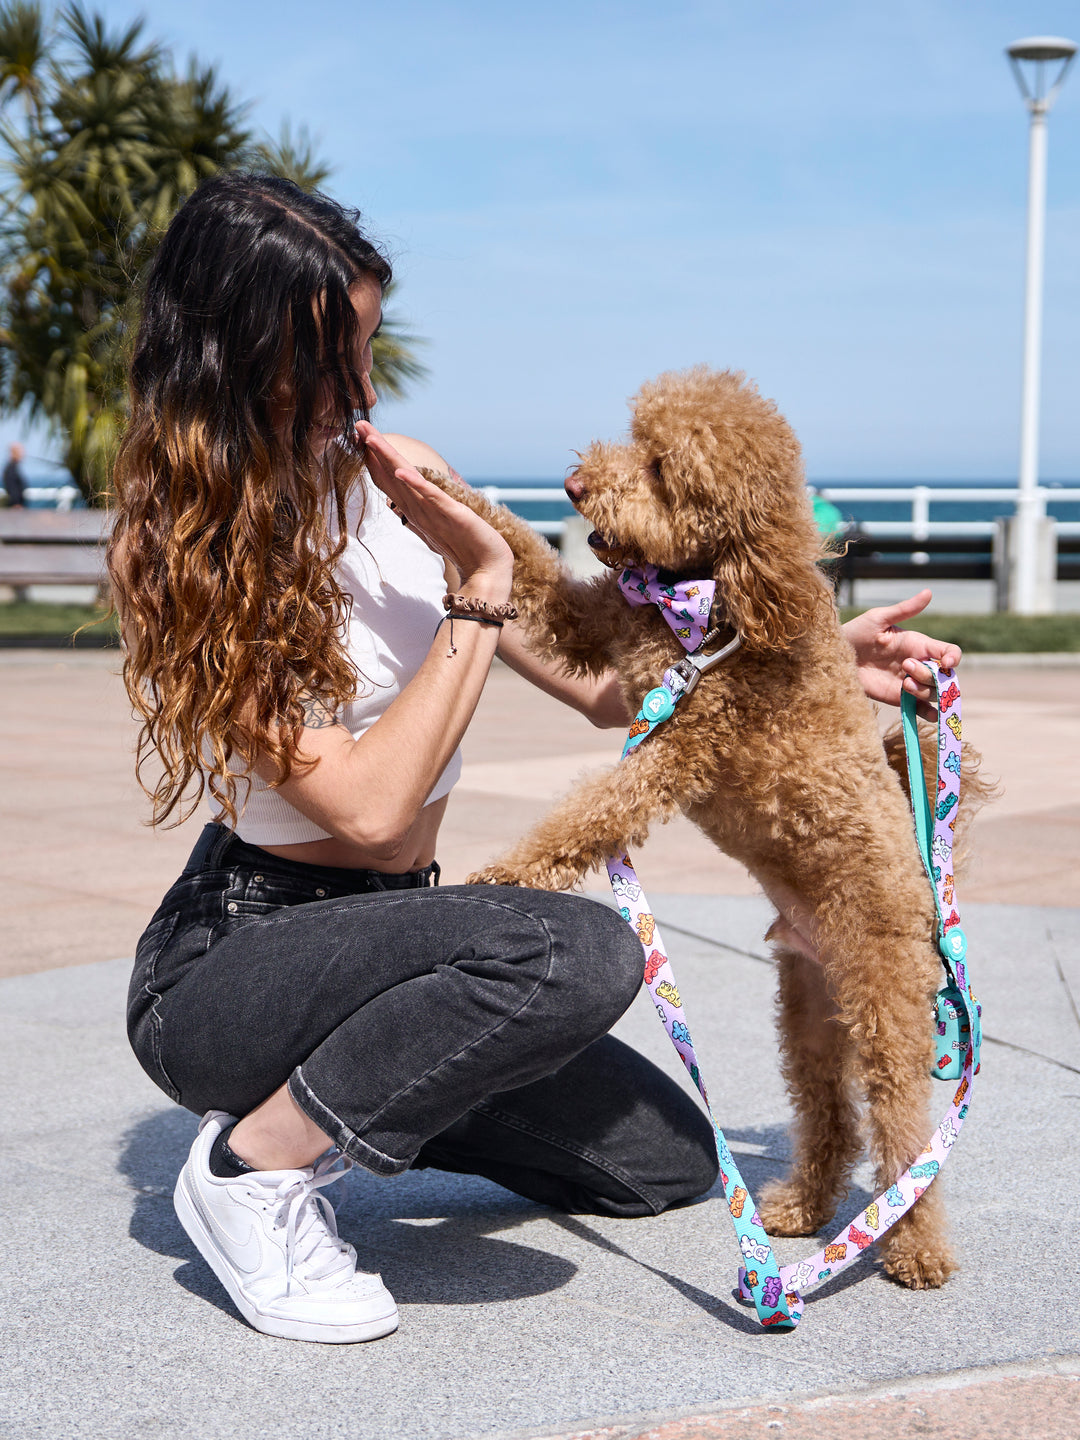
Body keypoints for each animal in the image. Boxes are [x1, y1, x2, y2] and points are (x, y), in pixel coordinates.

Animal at [426, 365, 996, 1290]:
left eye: (665, 468)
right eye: (635, 438)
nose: (574, 484)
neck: (713, 599)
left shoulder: (680, 748)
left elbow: (591, 812)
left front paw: (506, 872)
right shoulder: (599, 622)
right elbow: (530, 562)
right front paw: (435, 488)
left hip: (887, 1002)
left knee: (907, 1130)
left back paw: (914, 1248)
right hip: (806, 1008)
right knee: (828, 1111)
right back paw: (803, 1208)